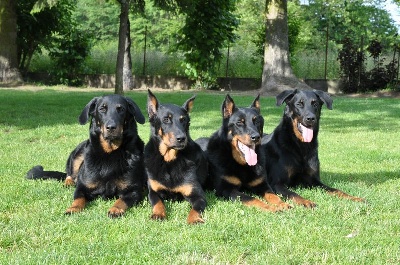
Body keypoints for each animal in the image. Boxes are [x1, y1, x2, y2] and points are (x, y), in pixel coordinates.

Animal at [145, 89, 208, 224]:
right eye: (166, 119)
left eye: (183, 120)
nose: (181, 138)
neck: (169, 160)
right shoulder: (153, 191)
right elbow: (157, 203)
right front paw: (158, 214)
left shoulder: (198, 195)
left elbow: (195, 209)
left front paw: (194, 219)